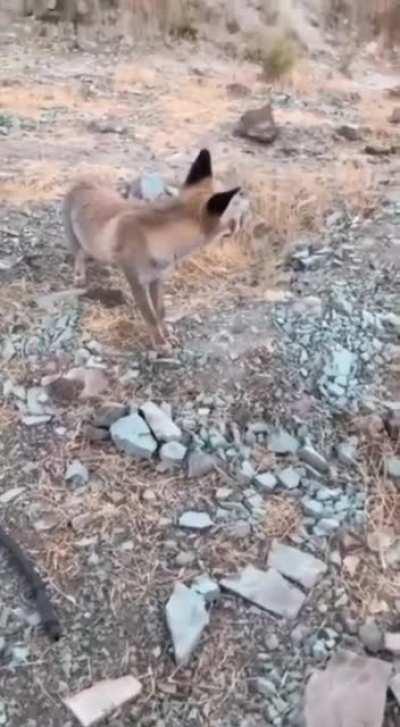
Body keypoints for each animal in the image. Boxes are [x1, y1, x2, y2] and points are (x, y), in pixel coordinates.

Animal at [63, 149, 240, 346]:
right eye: (231, 219)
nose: (238, 226)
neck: (156, 241)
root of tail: (82, 180)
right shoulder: (137, 282)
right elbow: (150, 316)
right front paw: (160, 343)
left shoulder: (158, 279)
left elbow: (160, 312)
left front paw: (167, 335)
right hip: (74, 239)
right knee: (79, 256)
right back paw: (79, 275)